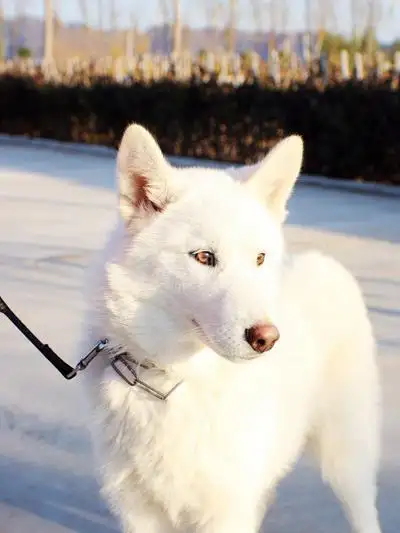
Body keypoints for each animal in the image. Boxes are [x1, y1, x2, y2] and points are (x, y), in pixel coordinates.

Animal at [80, 123, 382, 532]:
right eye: (204, 257)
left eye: (259, 258)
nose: (266, 338)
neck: (176, 380)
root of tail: (326, 261)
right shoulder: (138, 510)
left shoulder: (225, 509)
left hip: (346, 460)